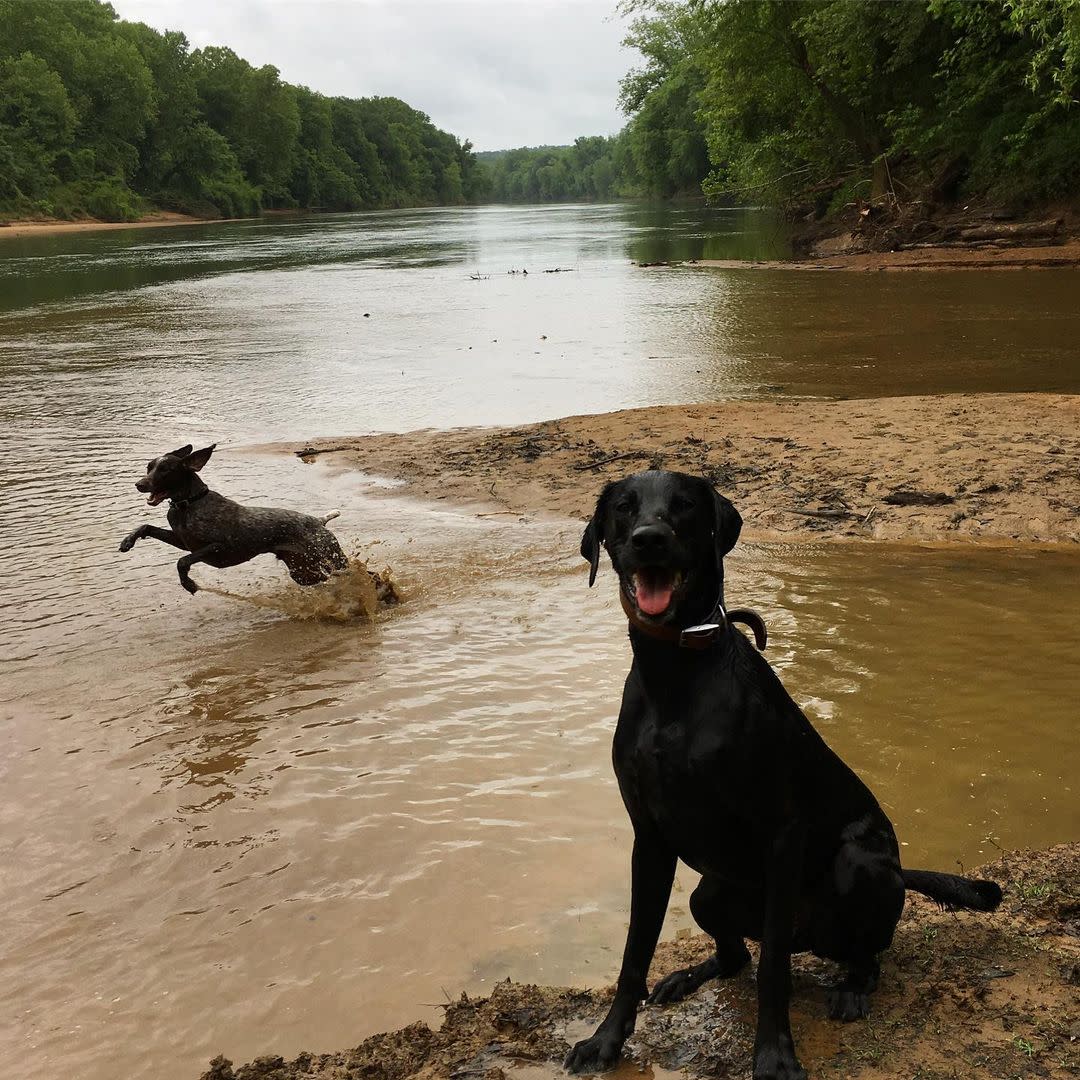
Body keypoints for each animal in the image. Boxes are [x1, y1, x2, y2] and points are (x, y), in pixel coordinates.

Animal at [123, 442, 349, 596]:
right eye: (149, 467)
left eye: (165, 470)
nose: (139, 484)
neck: (188, 504)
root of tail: (319, 521)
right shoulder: (183, 541)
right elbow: (147, 527)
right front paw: (127, 541)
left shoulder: (218, 547)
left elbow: (182, 561)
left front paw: (189, 584)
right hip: (303, 571)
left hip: (332, 558)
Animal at [565, 470, 1002, 1080]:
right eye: (625, 508)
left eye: (684, 506)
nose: (650, 539)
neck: (676, 674)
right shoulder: (648, 840)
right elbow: (635, 951)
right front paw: (606, 1040)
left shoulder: (783, 835)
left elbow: (774, 968)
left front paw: (774, 1056)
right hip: (709, 895)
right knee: (734, 955)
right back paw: (688, 976)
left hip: (860, 866)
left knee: (863, 955)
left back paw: (852, 988)